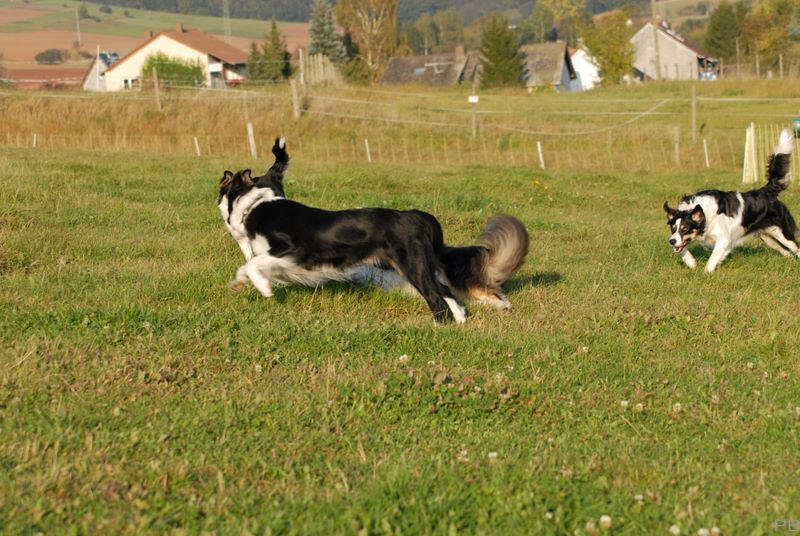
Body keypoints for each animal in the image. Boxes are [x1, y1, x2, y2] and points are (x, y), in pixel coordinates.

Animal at [664, 128, 798, 272]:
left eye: (685, 229)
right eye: (673, 229)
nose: (671, 241)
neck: (704, 213)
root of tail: (766, 191)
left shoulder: (723, 239)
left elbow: (712, 259)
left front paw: (705, 273)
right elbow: (682, 250)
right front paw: (691, 262)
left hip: (782, 233)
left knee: (796, 247)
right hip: (768, 236)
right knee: (786, 251)